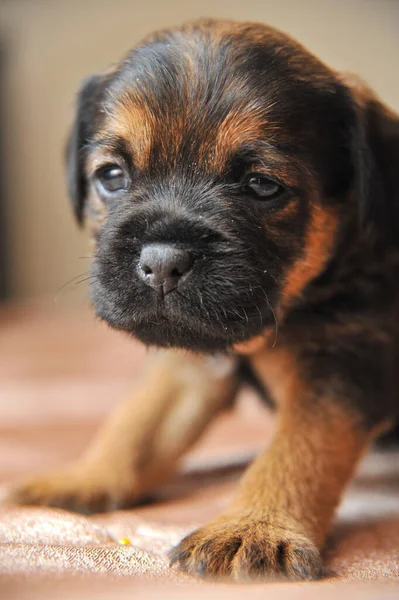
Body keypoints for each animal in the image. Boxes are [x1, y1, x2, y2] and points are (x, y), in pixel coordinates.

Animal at [7, 18, 399, 580]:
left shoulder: (343, 363)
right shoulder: (192, 361)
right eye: (111, 175)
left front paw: (254, 527)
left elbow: (299, 448)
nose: (162, 262)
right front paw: (89, 475)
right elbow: (140, 420)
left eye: (262, 185)